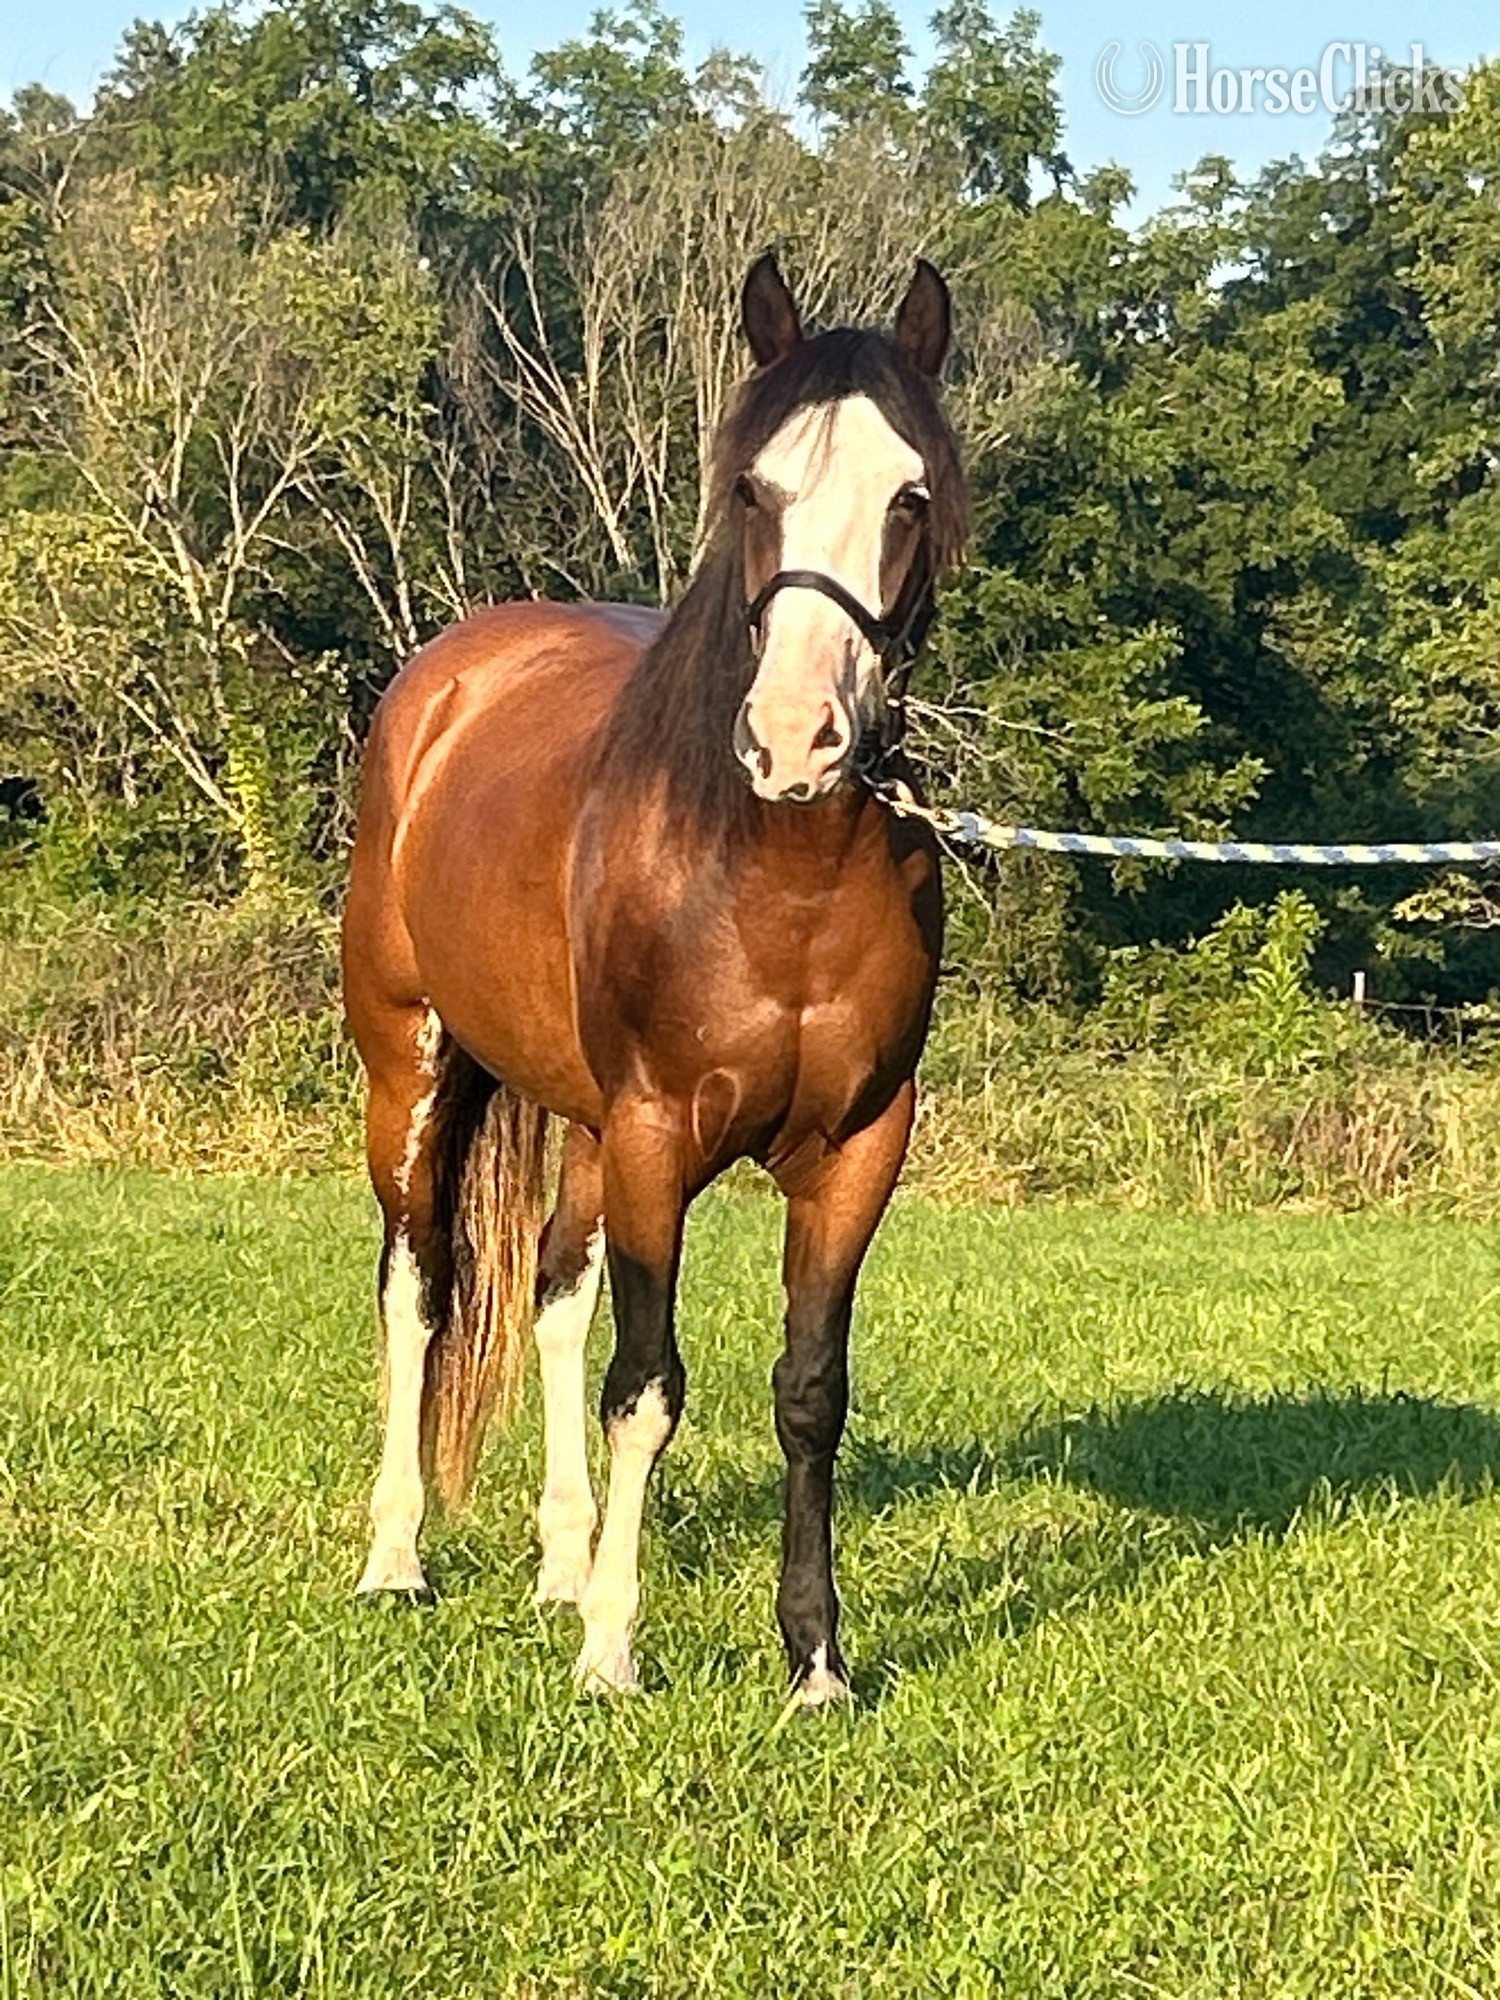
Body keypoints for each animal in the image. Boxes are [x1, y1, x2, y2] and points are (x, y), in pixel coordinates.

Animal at [342, 252, 966, 1702]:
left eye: (909, 496)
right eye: (754, 489)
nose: (796, 740)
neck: (774, 871)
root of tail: (446, 679)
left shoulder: (860, 1147)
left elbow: (807, 1389)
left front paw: (815, 1659)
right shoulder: (652, 1131)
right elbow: (649, 1385)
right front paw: (614, 1652)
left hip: (577, 1123)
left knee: (554, 1297)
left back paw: (561, 1566)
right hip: (413, 1071)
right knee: (421, 1288)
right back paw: (398, 1560)